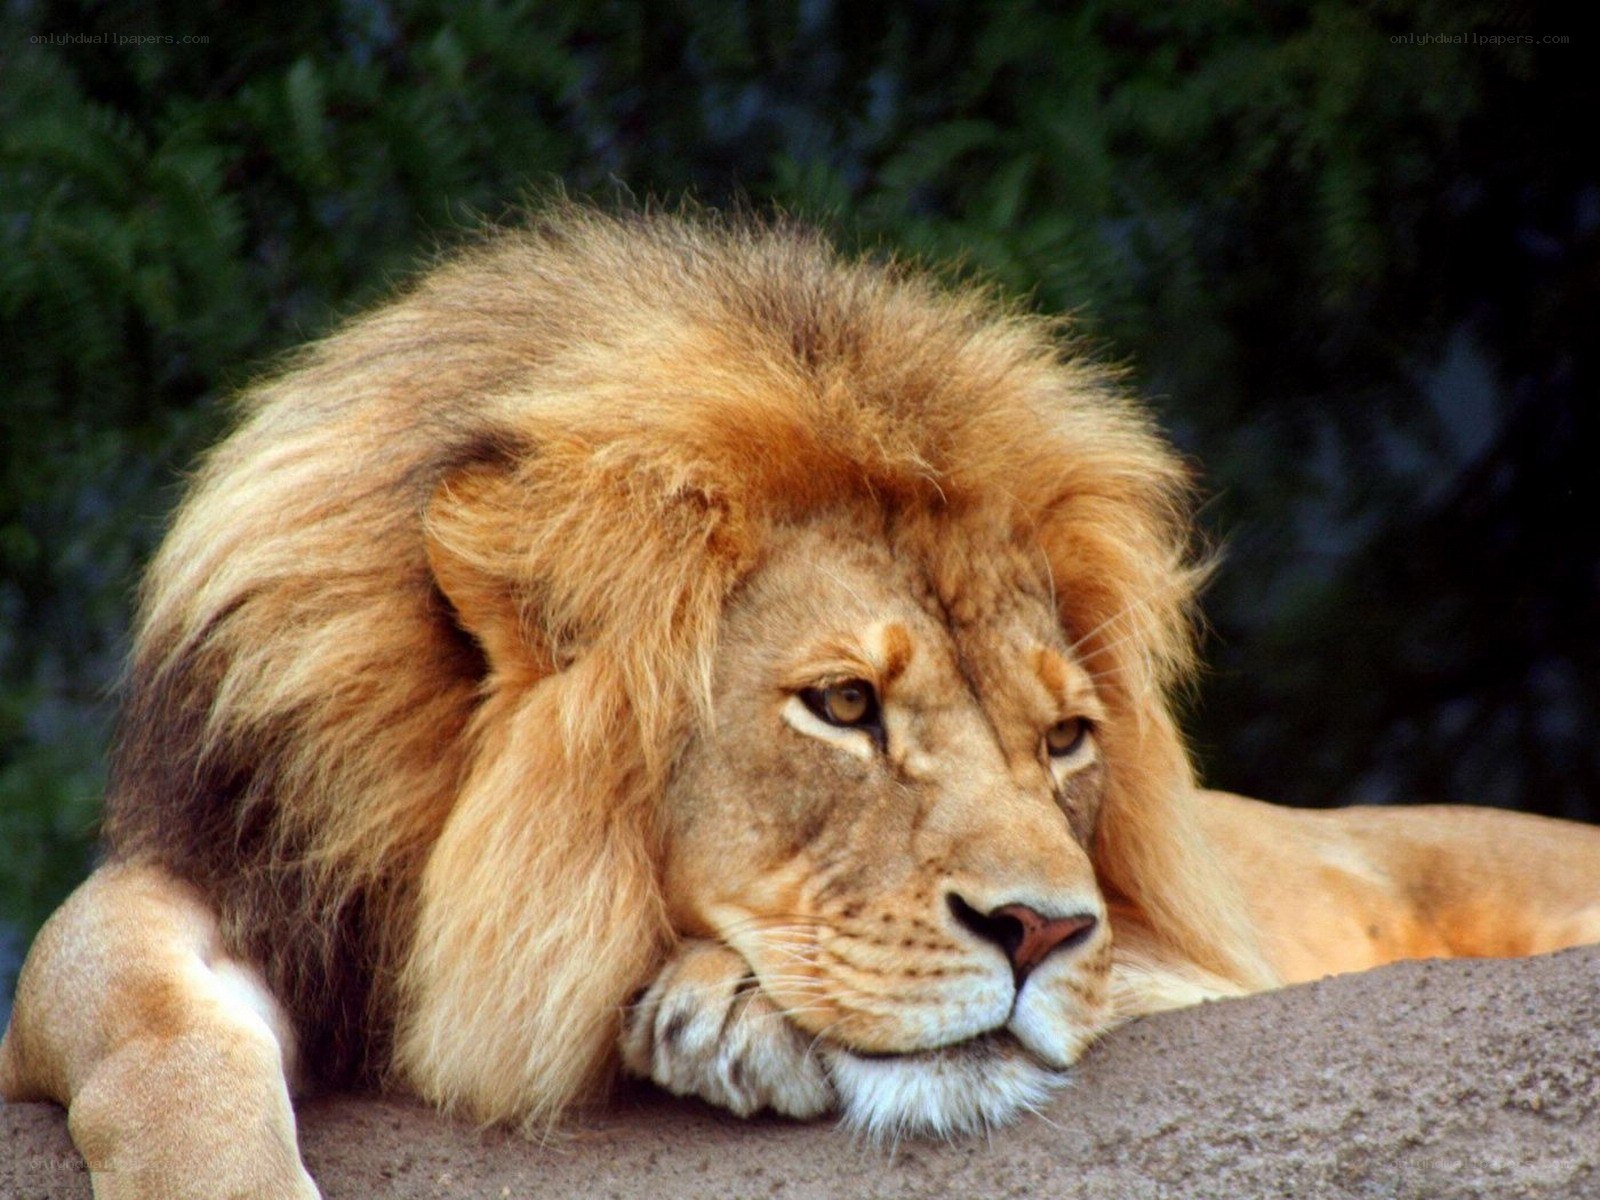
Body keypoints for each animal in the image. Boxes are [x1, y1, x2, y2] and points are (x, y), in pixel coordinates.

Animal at [2, 205, 1598, 1199]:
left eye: (1066, 739)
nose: (1039, 930)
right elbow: (123, 999)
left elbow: (1147, 974)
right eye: (841, 705)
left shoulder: (1201, 959)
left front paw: (717, 1009)